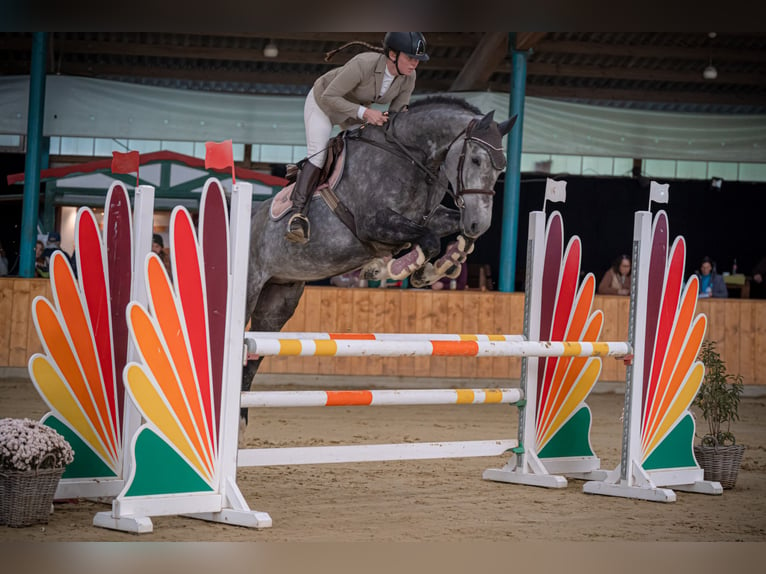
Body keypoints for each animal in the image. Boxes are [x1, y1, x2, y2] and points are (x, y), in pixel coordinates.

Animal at [240, 97, 516, 424]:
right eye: (475, 160)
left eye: (501, 168)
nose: (479, 223)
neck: (411, 157)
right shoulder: (372, 223)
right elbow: (428, 240)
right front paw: (395, 268)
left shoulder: (425, 218)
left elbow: (446, 231)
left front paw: (443, 263)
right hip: (250, 288)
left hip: (279, 299)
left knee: (254, 351)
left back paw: (241, 419)